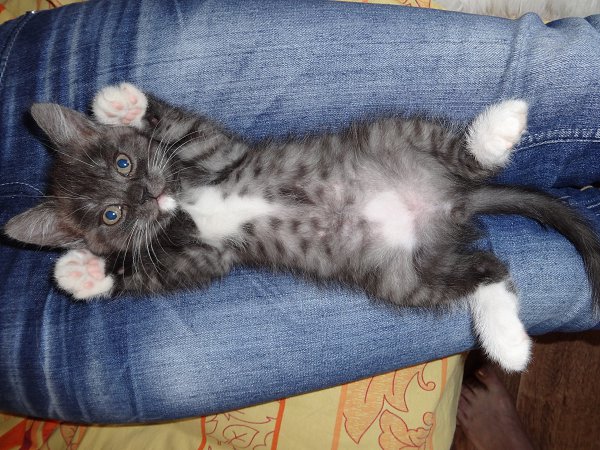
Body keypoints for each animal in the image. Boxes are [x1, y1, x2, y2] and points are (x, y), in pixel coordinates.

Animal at [5, 83, 600, 372]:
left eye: (126, 164)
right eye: (113, 215)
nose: (148, 195)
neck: (184, 204)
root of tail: (449, 203)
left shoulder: (216, 153)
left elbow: (181, 125)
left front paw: (120, 104)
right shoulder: (208, 256)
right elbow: (157, 272)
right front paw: (86, 271)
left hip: (398, 136)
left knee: (466, 159)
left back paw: (497, 128)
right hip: (407, 275)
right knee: (485, 270)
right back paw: (507, 342)